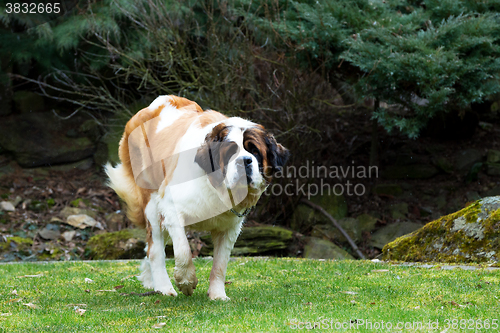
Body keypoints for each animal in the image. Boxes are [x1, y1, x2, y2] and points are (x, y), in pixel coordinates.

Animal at [106, 94, 290, 298]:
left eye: (255, 151)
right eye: (230, 153)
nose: (244, 161)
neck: (214, 184)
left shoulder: (230, 227)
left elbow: (220, 263)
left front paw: (217, 295)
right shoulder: (170, 208)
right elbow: (183, 250)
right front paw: (186, 281)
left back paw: (150, 281)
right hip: (152, 203)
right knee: (155, 249)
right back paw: (164, 288)